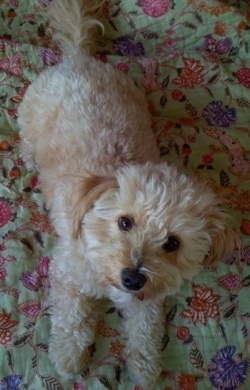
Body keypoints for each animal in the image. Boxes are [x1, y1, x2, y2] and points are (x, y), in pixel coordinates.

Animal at [17, 1, 232, 388]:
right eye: (125, 222)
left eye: (173, 243)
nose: (133, 277)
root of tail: (80, 59)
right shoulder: (68, 274)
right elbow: (71, 320)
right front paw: (68, 356)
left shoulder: (146, 299)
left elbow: (145, 330)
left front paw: (144, 367)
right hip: (31, 114)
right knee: (26, 136)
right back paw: (28, 156)